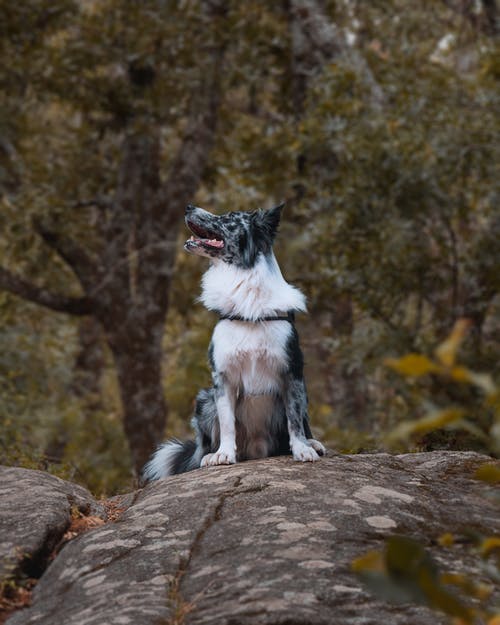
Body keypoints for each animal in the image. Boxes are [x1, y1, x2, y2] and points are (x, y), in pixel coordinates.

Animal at [143, 202, 326, 480]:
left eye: (229, 217)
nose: (187, 206)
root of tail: (258, 449)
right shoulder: (223, 377)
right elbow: (227, 422)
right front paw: (224, 454)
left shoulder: (292, 372)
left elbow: (295, 418)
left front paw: (302, 449)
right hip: (204, 399)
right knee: (204, 443)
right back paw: (208, 455)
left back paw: (311, 442)